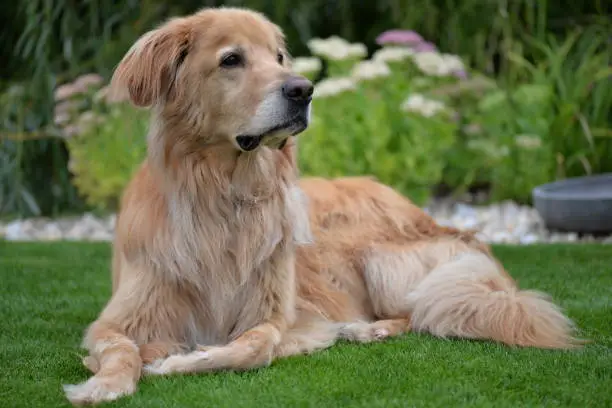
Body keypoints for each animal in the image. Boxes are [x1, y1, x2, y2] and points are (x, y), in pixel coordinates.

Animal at [62, 5, 580, 404]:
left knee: (420, 313)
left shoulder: (273, 312)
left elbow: (254, 346)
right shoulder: (118, 317)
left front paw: (182, 360)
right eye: (231, 59)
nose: (303, 89)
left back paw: (367, 330)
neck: (224, 195)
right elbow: (121, 349)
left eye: (278, 57)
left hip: (376, 258)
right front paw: (105, 383)